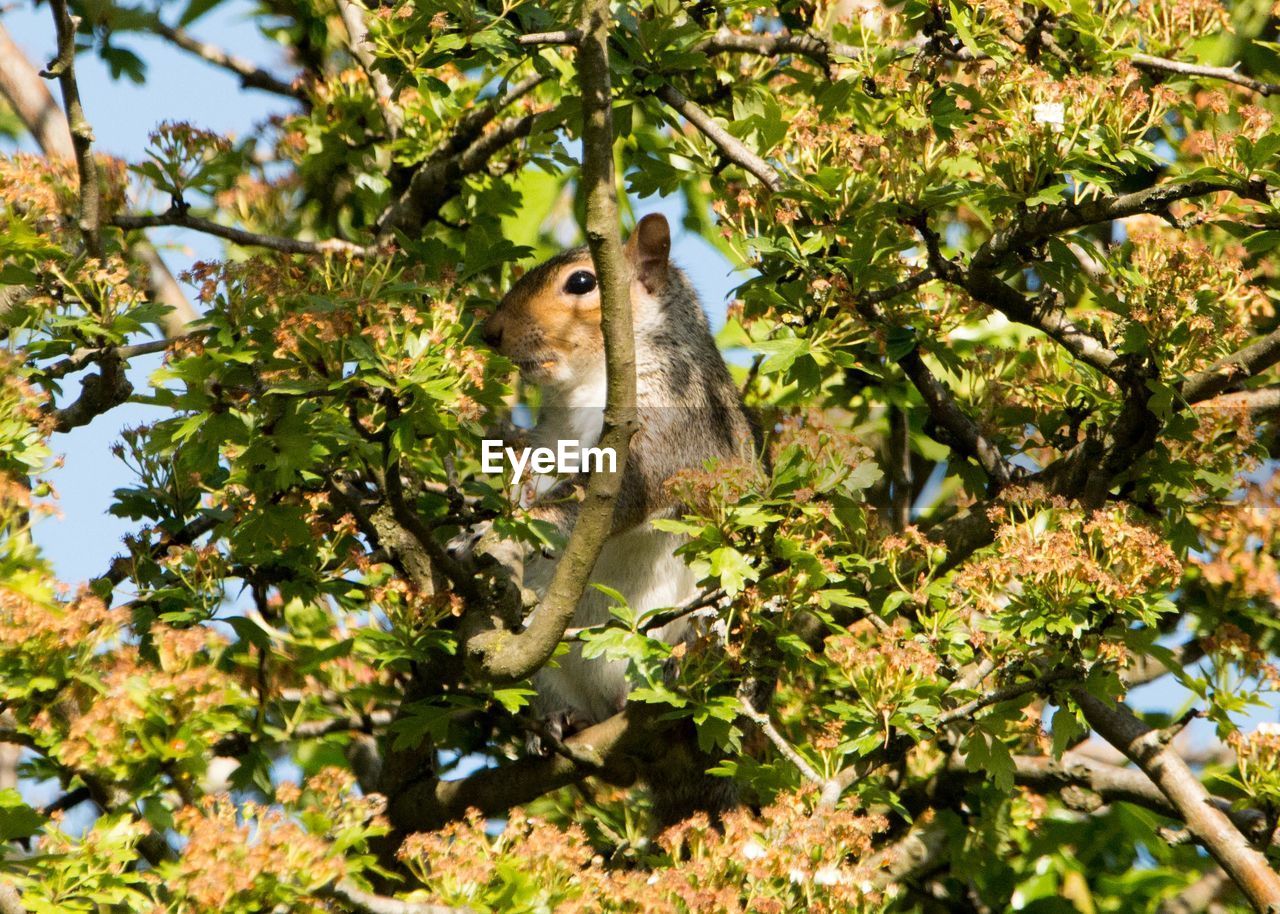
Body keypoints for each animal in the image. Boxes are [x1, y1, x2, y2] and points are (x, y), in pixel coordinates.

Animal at [481, 211, 757, 819]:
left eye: (582, 282)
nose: (491, 331)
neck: (587, 387)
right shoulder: (548, 440)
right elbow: (530, 475)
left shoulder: (676, 424)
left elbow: (620, 493)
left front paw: (504, 530)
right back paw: (561, 723)